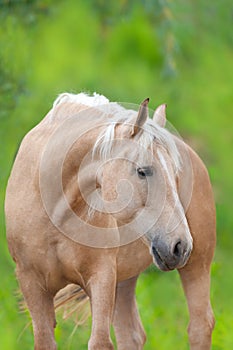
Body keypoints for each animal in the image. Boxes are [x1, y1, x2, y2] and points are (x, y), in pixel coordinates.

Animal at [4, 93, 216, 350]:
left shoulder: (101, 277)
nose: (180, 246)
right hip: (124, 281)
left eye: (176, 174)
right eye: (142, 171)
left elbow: (100, 342)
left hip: (197, 265)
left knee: (199, 327)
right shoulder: (32, 283)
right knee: (131, 335)